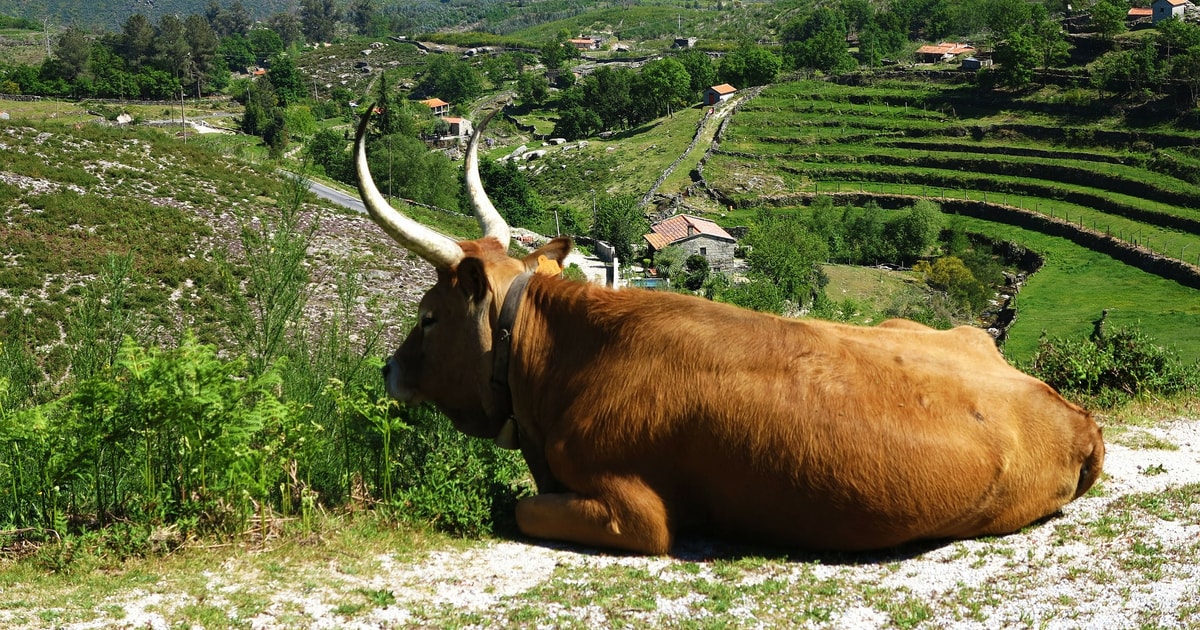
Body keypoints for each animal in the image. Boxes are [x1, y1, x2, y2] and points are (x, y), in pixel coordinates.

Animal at [352, 108, 1104, 554]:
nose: (387, 369)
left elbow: (520, 508)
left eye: (429, 315)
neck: (569, 363)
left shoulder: (636, 512)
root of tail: (1076, 415)